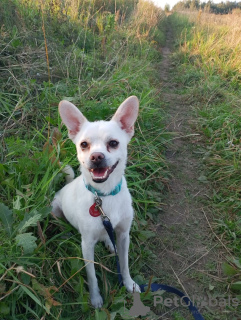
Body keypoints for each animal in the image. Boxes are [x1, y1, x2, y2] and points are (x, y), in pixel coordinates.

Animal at [51, 95, 140, 308]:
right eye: (84, 145)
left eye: (114, 143)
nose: (96, 156)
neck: (104, 196)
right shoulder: (87, 245)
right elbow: (91, 276)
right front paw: (95, 298)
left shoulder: (124, 235)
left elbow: (124, 264)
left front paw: (129, 284)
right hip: (54, 209)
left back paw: (108, 241)